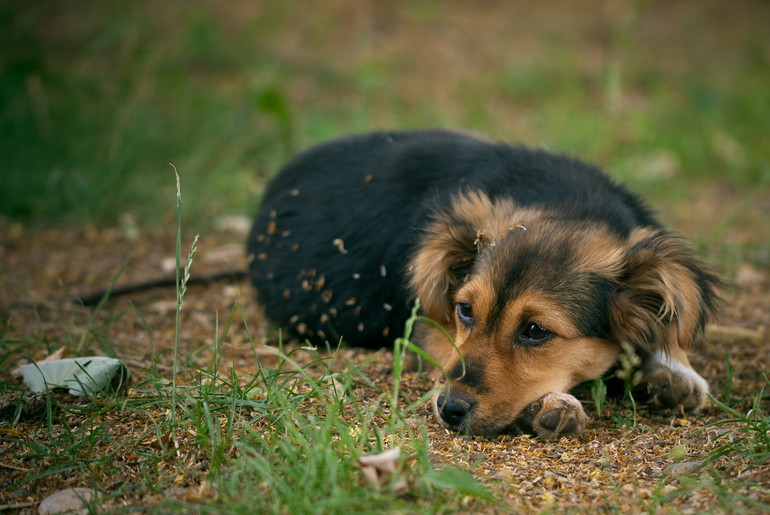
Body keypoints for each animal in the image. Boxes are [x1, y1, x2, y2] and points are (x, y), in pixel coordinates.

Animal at [248, 130, 720, 440]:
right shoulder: (428, 331)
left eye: (535, 331)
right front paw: (552, 404)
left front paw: (673, 370)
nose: (449, 409)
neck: (570, 200)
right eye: (465, 310)